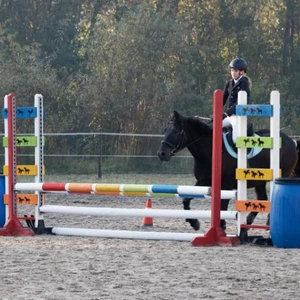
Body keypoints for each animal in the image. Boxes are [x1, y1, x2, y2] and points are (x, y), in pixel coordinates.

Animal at [157, 111, 298, 243]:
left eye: (175, 131)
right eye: (165, 130)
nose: (161, 154)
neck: (211, 150)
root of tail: (291, 141)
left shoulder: (227, 185)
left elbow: (222, 205)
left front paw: (221, 228)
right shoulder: (203, 181)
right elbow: (186, 200)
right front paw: (194, 223)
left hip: (281, 175)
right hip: (259, 182)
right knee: (261, 200)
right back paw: (245, 229)